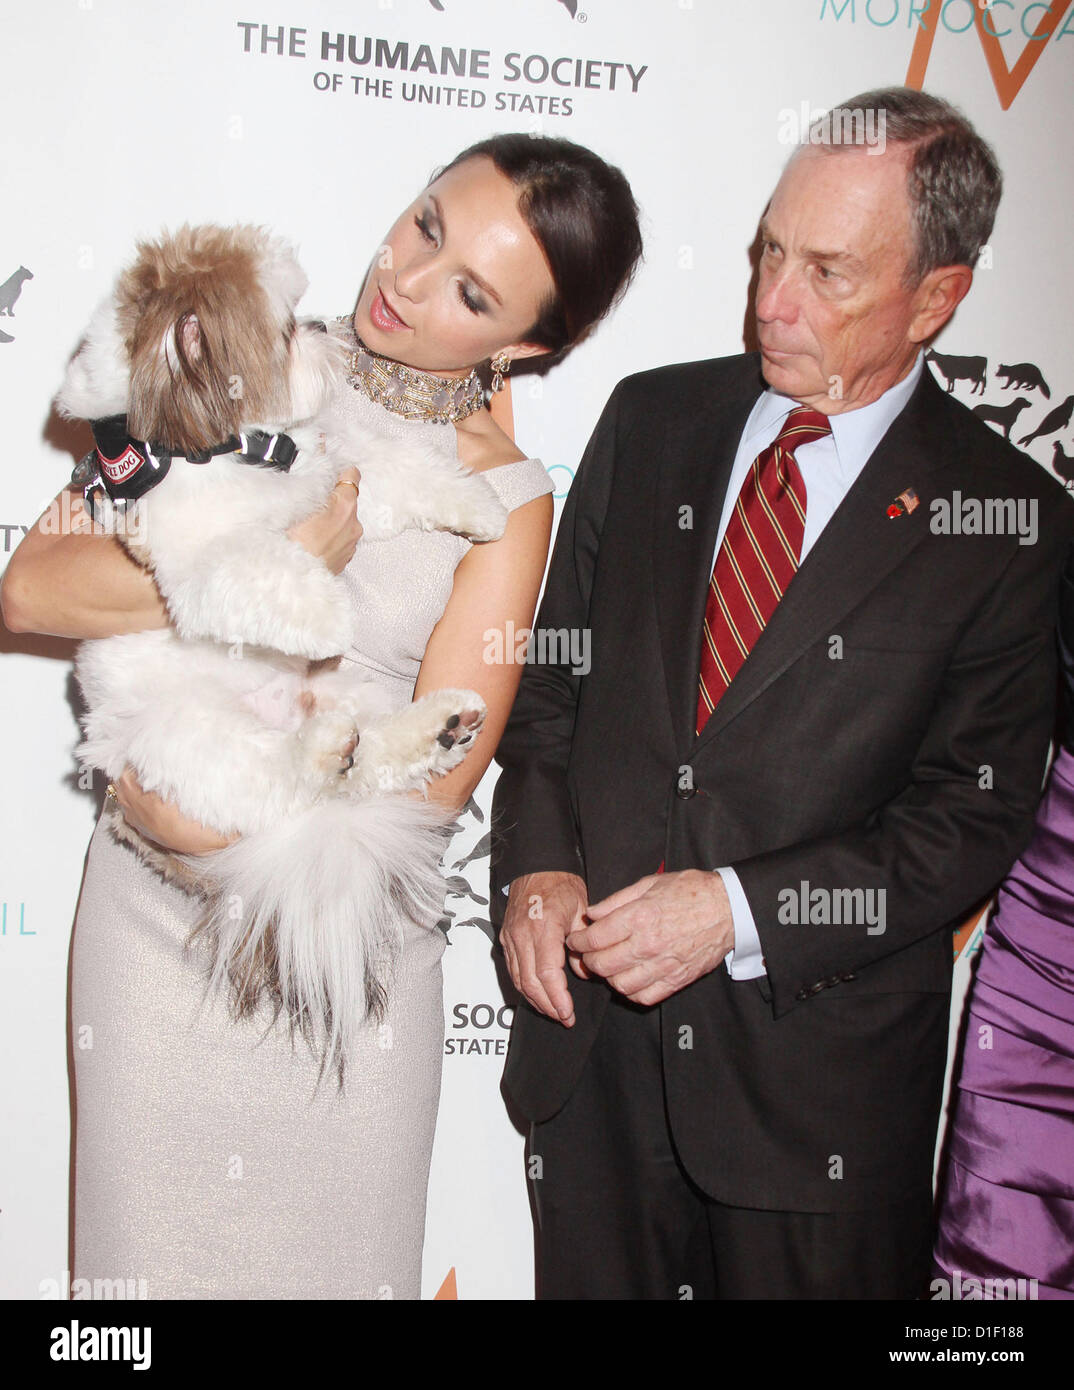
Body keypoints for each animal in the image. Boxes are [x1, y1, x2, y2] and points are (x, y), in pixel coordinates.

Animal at [57, 225, 505, 1073]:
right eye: (287, 329)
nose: (328, 327)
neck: (230, 448)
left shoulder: (336, 471)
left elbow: (407, 474)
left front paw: (480, 504)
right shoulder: (202, 561)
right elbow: (267, 568)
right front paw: (330, 612)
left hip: (353, 695)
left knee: (374, 763)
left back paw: (436, 730)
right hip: (190, 742)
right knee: (283, 780)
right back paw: (319, 752)